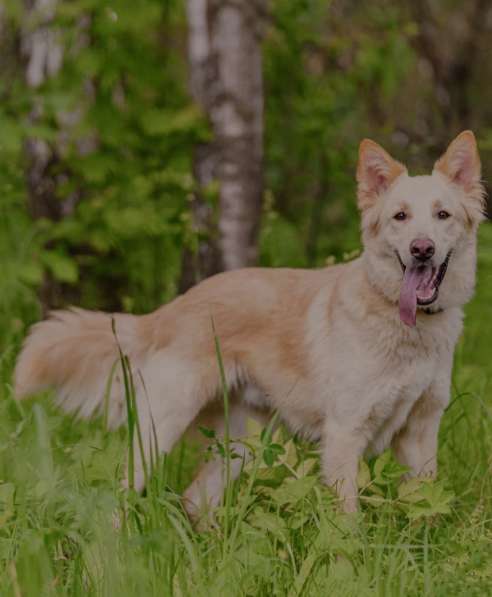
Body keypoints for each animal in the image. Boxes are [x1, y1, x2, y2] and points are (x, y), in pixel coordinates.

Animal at [13, 133, 486, 516]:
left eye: (442, 215)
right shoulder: (344, 434)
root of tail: (174, 308)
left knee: (194, 501)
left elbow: (426, 509)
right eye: (400, 217)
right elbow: (347, 523)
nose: (422, 249)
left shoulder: (421, 434)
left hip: (244, 446)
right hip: (159, 431)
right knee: (121, 495)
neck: (404, 326)